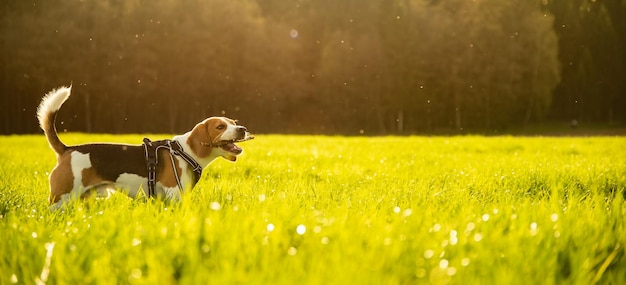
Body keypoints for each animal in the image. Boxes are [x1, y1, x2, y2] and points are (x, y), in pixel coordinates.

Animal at [37, 86, 252, 209]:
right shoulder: (173, 192)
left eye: (233, 122)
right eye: (220, 127)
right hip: (61, 198)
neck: (185, 152)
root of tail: (67, 149)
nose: (242, 129)